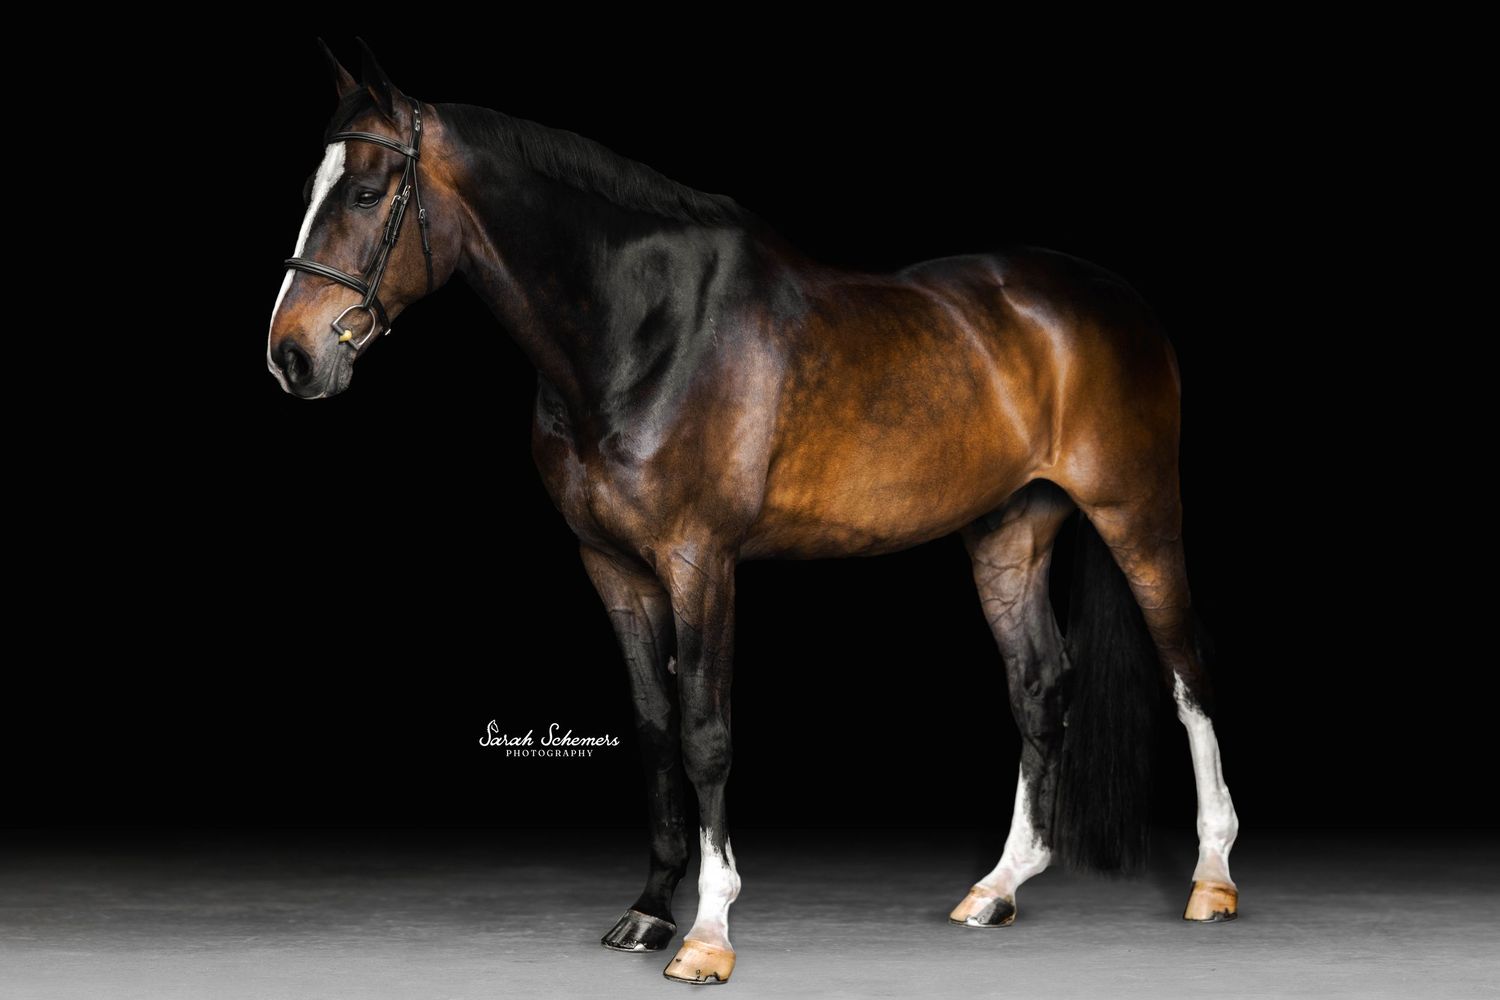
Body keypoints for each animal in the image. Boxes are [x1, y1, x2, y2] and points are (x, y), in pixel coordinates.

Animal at [266, 39, 1240, 986]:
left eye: (365, 192)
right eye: (314, 189)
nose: (292, 356)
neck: (643, 330)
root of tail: (1115, 299)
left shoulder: (701, 561)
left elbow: (705, 733)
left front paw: (708, 933)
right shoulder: (612, 567)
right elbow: (653, 727)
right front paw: (649, 911)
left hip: (1138, 514)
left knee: (1188, 674)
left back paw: (1212, 881)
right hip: (1010, 533)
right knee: (1039, 685)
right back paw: (997, 888)